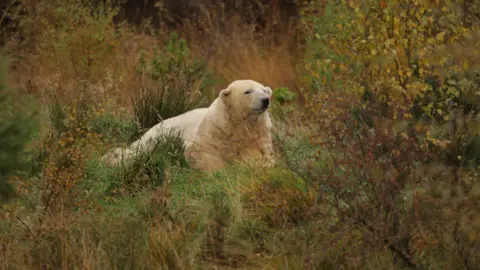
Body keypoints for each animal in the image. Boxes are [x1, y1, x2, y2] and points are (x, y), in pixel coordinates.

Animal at [102, 79, 274, 171]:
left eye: (264, 90)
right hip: (158, 136)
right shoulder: (214, 130)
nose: (265, 100)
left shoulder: (258, 136)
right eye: (248, 91)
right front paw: (220, 169)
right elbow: (200, 151)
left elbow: (260, 156)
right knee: (139, 150)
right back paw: (111, 158)